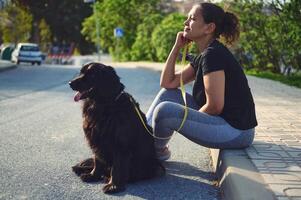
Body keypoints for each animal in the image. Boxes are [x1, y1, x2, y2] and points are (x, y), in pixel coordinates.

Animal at [68, 62, 164, 194]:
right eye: (81, 72)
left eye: (92, 75)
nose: (70, 83)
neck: (104, 105)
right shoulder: (97, 139)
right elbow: (97, 161)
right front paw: (93, 175)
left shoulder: (120, 144)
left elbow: (117, 166)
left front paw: (113, 185)